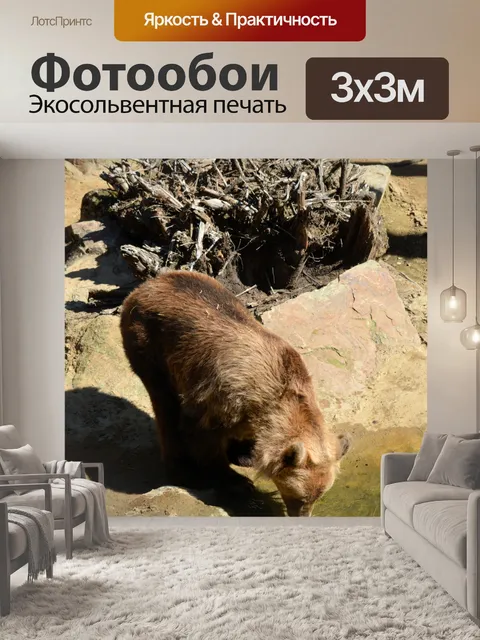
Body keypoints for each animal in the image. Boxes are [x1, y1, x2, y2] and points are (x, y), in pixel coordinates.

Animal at [120, 270, 350, 516]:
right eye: (301, 497)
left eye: (319, 496)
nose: (302, 514)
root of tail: (147, 285)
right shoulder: (218, 398)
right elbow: (202, 438)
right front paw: (236, 481)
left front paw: (245, 455)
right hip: (151, 346)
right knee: (165, 409)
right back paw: (182, 472)